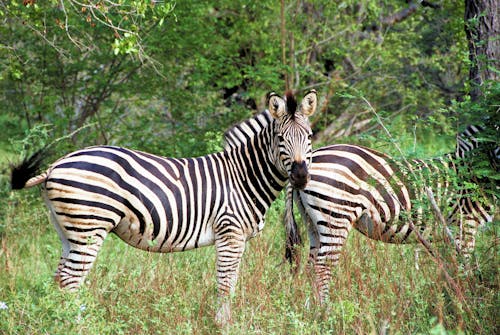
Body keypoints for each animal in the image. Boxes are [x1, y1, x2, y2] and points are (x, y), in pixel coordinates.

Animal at [9, 89, 318, 326]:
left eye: (310, 136)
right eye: (281, 139)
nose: (301, 176)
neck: (243, 175)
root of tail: (56, 164)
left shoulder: (236, 237)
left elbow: (230, 282)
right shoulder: (230, 232)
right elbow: (226, 284)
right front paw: (223, 325)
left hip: (68, 230)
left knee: (60, 279)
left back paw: (59, 322)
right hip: (89, 226)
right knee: (71, 281)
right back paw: (76, 326)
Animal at [284, 124, 498, 304]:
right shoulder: (465, 224)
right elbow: (465, 268)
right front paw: (467, 303)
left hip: (312, 221)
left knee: (311, 265)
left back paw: (310, 313)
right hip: (335, 216)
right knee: (323, 267)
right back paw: (326, 314)